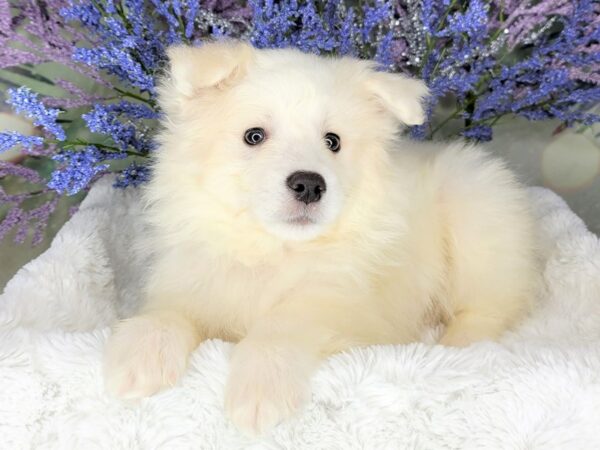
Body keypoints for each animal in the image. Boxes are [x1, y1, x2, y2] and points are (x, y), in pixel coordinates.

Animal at [103, 40, 540, 434]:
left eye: (333, 142)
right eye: (254, 136)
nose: (309, 185)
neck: (271, 248)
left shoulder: (342, 301)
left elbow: (283, 322)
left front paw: (259, 394)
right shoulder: (193, 278)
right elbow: (166, 313)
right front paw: (138, 361)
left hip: (477, 213)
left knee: (488, 307)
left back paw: (455, 346)